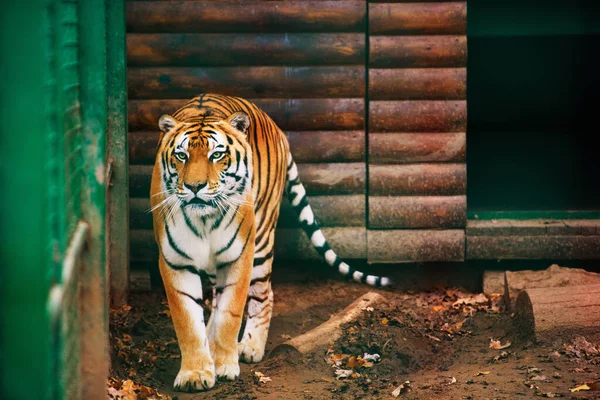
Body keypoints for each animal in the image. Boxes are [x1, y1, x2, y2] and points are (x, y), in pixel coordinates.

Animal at [152, 93, 392, 390]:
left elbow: (230, 314)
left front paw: (224, 364)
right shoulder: (175, 262)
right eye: (181, 156)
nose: (195, 187)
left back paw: (250, 347)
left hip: (262, 239)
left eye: (216, 154)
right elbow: (188, 322)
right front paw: (195, 373)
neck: (204, 220)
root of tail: (275, 126)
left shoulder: (239, 256)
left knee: (264, 294)